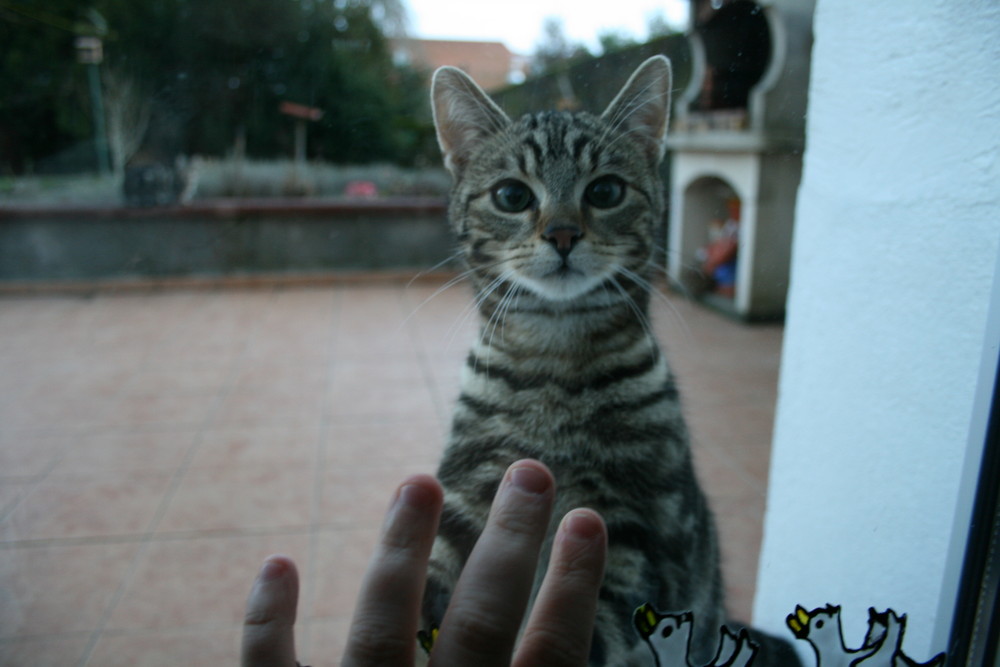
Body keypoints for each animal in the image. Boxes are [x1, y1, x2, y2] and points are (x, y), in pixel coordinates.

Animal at [422, 56, 796, 667]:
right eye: (511, 196)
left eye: (605, 190)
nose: (563, 233)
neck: (556, 349)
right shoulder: (467, 492)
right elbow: (430, 578)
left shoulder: (637, 527)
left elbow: (595, 630)